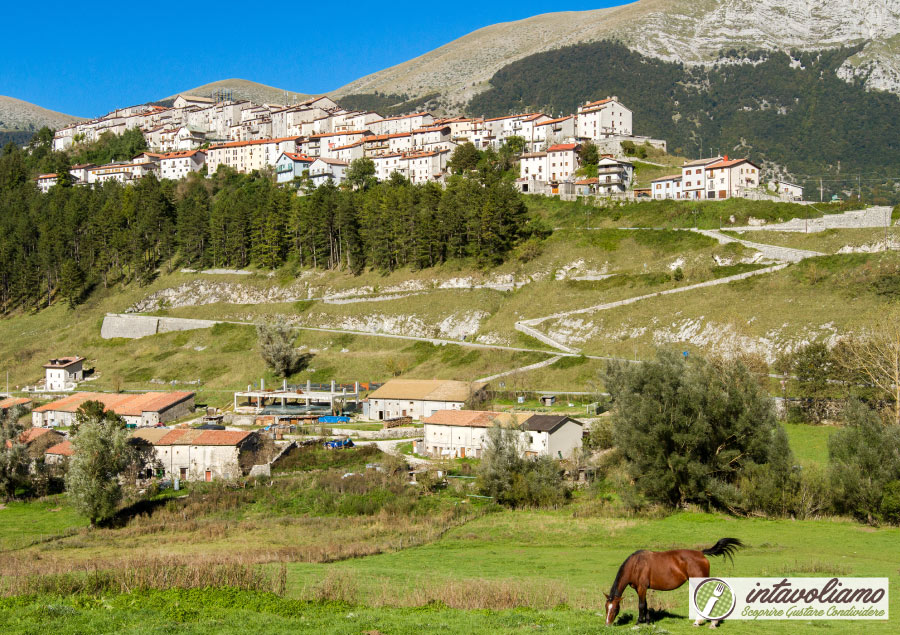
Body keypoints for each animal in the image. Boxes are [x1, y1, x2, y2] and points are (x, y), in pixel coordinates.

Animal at [600, 540, 740, 628]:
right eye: (606, 607)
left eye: (615, 609)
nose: (607, 624)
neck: (636, 564)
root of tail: (701, 553)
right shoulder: (641, 589)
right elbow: (645, 605)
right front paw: (648, 621)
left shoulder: (642, 588)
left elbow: (641, 605)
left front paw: (639, 622)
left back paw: (708, 622)